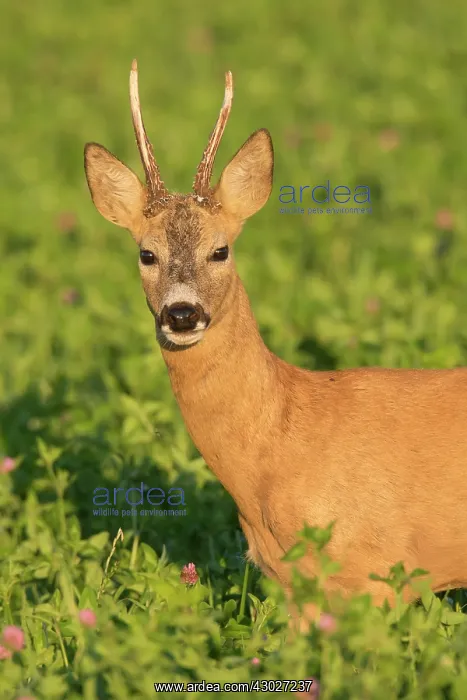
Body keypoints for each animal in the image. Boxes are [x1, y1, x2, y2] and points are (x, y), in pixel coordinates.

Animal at [84, 60, 467, 631]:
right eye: (146, 254)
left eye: (220, 250)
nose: (182, 313)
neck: (282, 446)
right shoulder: (294, 586)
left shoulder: (375, 571)